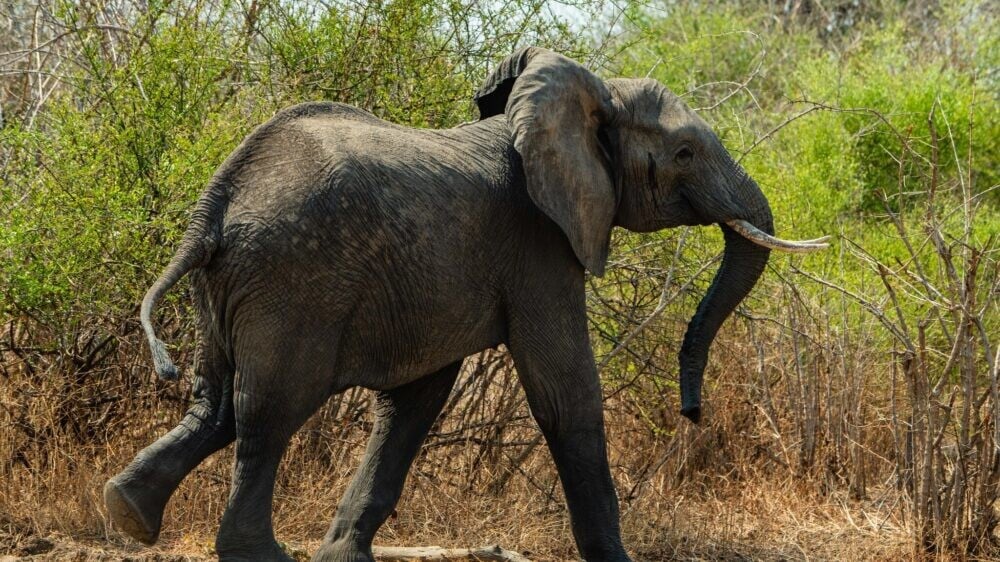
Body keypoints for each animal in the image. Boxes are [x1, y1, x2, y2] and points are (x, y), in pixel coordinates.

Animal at [103, 48, 828, 560]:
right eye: (683, 153)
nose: (693, 413)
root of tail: (214, 206)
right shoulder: (540, 244)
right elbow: (565, 394)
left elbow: (416, 401)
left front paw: (344, 557)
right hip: (292, 279)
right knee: (269, 410)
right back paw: (253, 553)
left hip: (235, 286)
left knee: (217, 401)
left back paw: (127, 513)